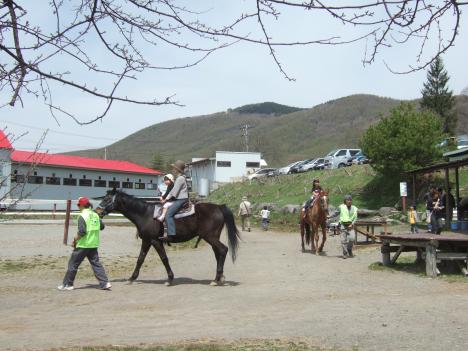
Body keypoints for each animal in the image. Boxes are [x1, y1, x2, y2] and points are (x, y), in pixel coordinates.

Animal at [98, 190, 238, 286]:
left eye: (107, 199)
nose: (98, 211)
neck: (145, 215)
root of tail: (219, 207)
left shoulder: (155, 241)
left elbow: (164, 258)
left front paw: (170, 279)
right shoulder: (147, 241)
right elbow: (140, 259)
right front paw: (132, 278)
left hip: (210, 237)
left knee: (223, 250)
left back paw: (216, 279)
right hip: (212, 237)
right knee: (218, 253)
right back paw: (219, 277)